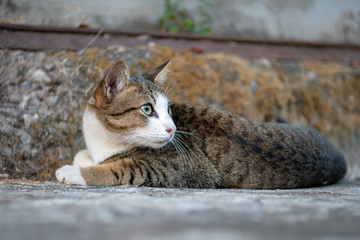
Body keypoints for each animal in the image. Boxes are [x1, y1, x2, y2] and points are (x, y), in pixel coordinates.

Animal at [55, 59, 346, 188]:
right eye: (147, 109)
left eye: (168, 110)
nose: (172, 129)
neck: (105, 139)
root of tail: (339, 157)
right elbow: (84, 154)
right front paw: (84, 159)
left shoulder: (176, 169)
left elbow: (117, 169)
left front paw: (74, 172)